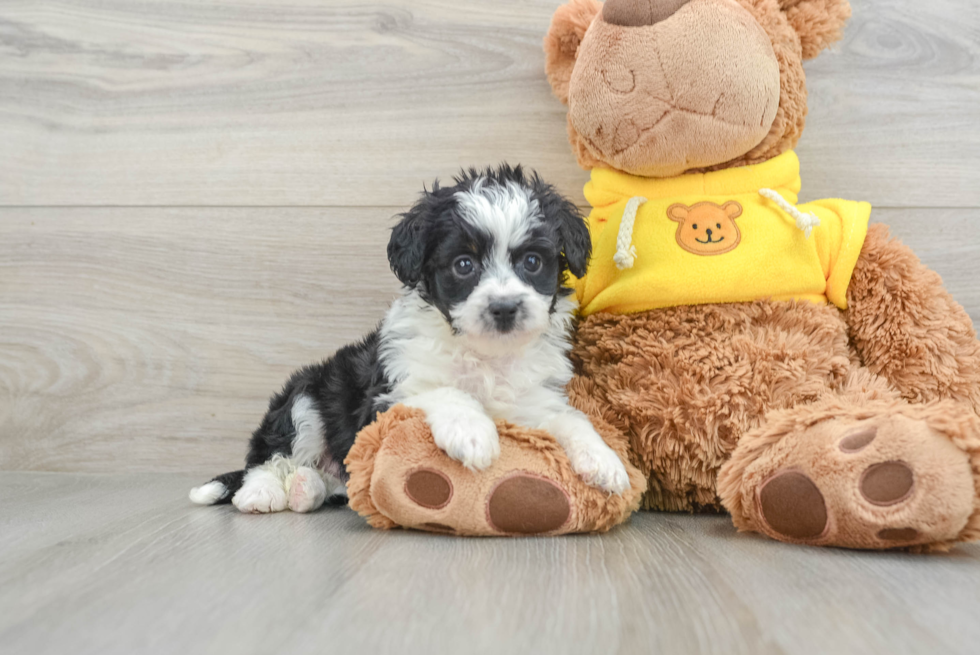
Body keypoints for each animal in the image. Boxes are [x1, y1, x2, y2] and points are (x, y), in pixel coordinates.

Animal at [191, 167, 628, 516]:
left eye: (533, 262)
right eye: (464, 265)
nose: (504, 308)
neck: (483, 356)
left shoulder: (533, 399)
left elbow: (570, 418)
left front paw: (604, 460)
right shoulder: (389, 393)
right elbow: (446, 391)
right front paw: (473, 432)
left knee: (330, 480)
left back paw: (305, 489)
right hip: (305, 397)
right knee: (270, 456)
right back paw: (262, 492)